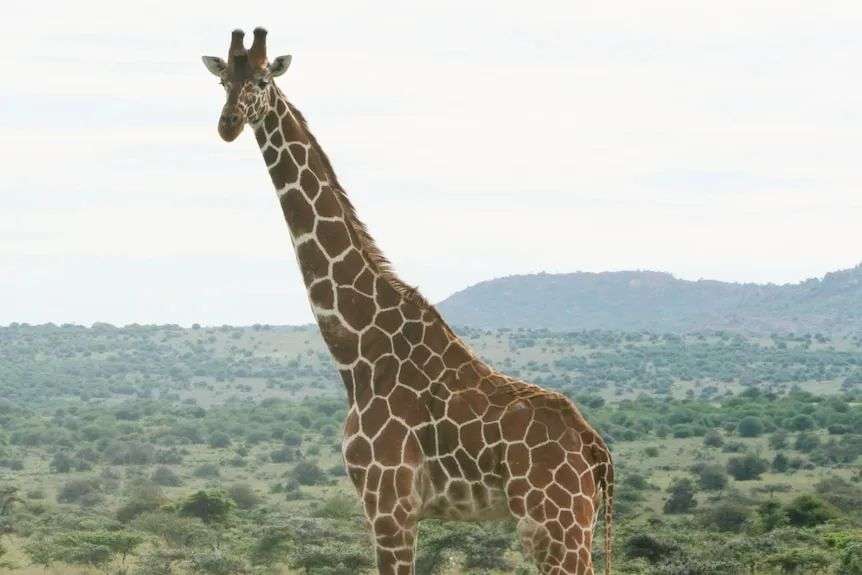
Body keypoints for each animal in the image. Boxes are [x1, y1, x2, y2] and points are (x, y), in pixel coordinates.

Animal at [202, 28, 614, 575]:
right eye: (224, 80)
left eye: (265, 80)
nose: (228, 124)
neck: (358, 349)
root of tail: (597, 450)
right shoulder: (389, 506)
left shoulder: (389, 503)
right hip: (566, 526)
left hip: (556, 525)